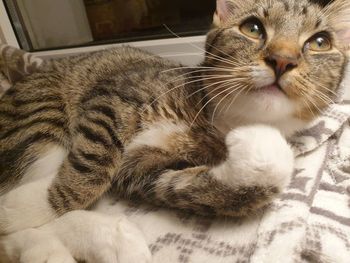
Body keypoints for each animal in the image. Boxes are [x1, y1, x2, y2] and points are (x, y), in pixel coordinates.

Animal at [0, 0, 348, 262]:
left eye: (320, 42)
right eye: (252, 28)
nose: (282, 59)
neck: (215, 120)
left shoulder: (143, 170)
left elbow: (190, 186)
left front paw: (254, 143)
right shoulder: (113, 95)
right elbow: (91, 167)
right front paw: (29, 206)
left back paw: (102, 242)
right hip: (39, 111)